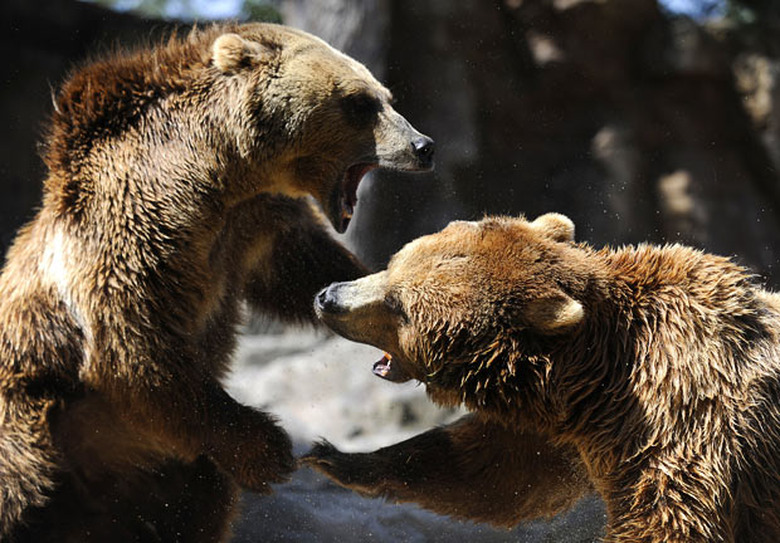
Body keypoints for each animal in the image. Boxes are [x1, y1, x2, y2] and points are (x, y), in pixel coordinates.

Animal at [0, 22, 433, 542]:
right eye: (360, 102)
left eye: (386, 96)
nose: (424, 146)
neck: (216, 173)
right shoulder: (130, 223)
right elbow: (134, 342)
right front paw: (269, 448)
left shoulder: (257, 220)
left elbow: (299, 269)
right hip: (33, 418)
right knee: (20, 479)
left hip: (163, 473)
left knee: (198, 504)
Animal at [305, 213, 780, 542]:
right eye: (393, 263)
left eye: (398, 306)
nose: (327, 296)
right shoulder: (571, 428)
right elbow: (496, 469)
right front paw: (337, 458)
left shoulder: (683, 422)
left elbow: (669, 520)